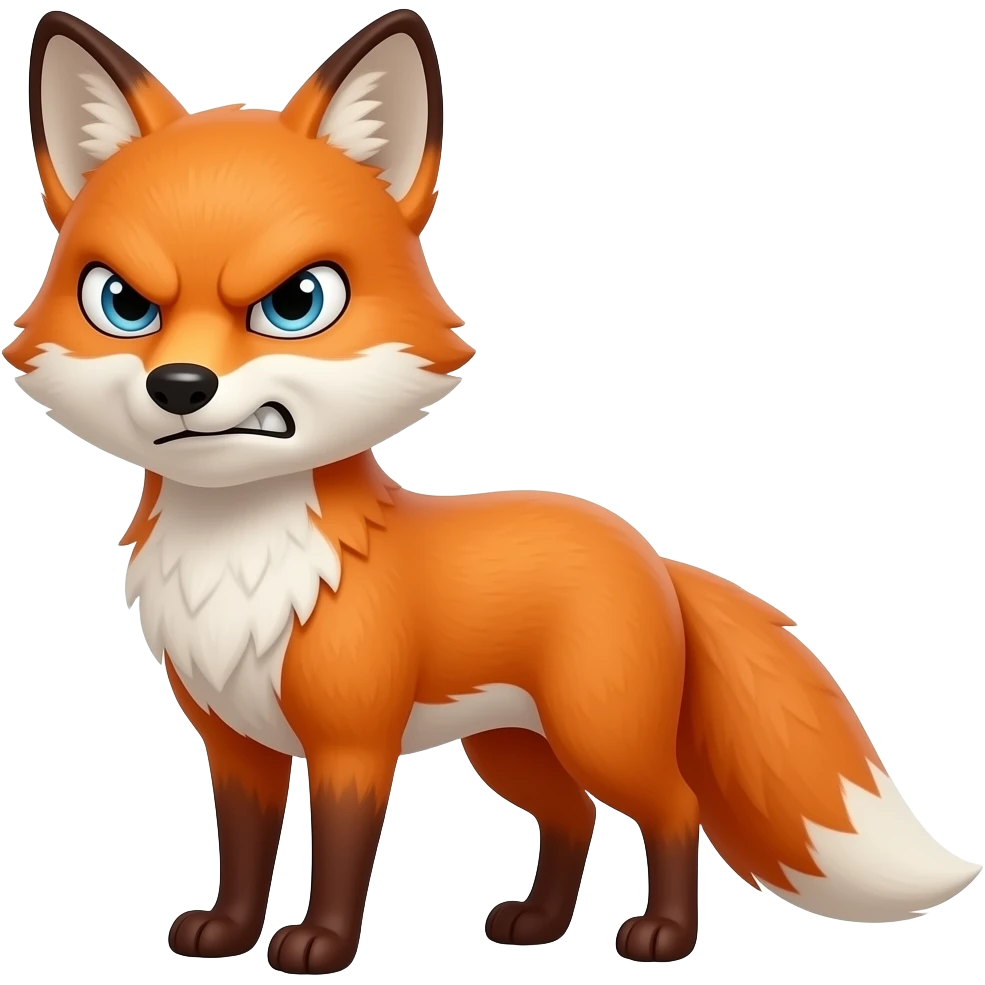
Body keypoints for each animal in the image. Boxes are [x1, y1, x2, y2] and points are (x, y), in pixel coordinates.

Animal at [6, 7, 981, 975]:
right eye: (122, 305)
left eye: (296, 303)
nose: (178, 385)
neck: (244, 558)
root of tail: (650, 551)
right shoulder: (235, 741)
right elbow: (243, 851)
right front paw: (228, 931)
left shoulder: (354, 742)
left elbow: (342, 854)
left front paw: (321, 943)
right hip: (511, 747)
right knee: (573, 816)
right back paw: (539, 923)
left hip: (597, 733)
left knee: (673, 807)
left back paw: (662, 936)